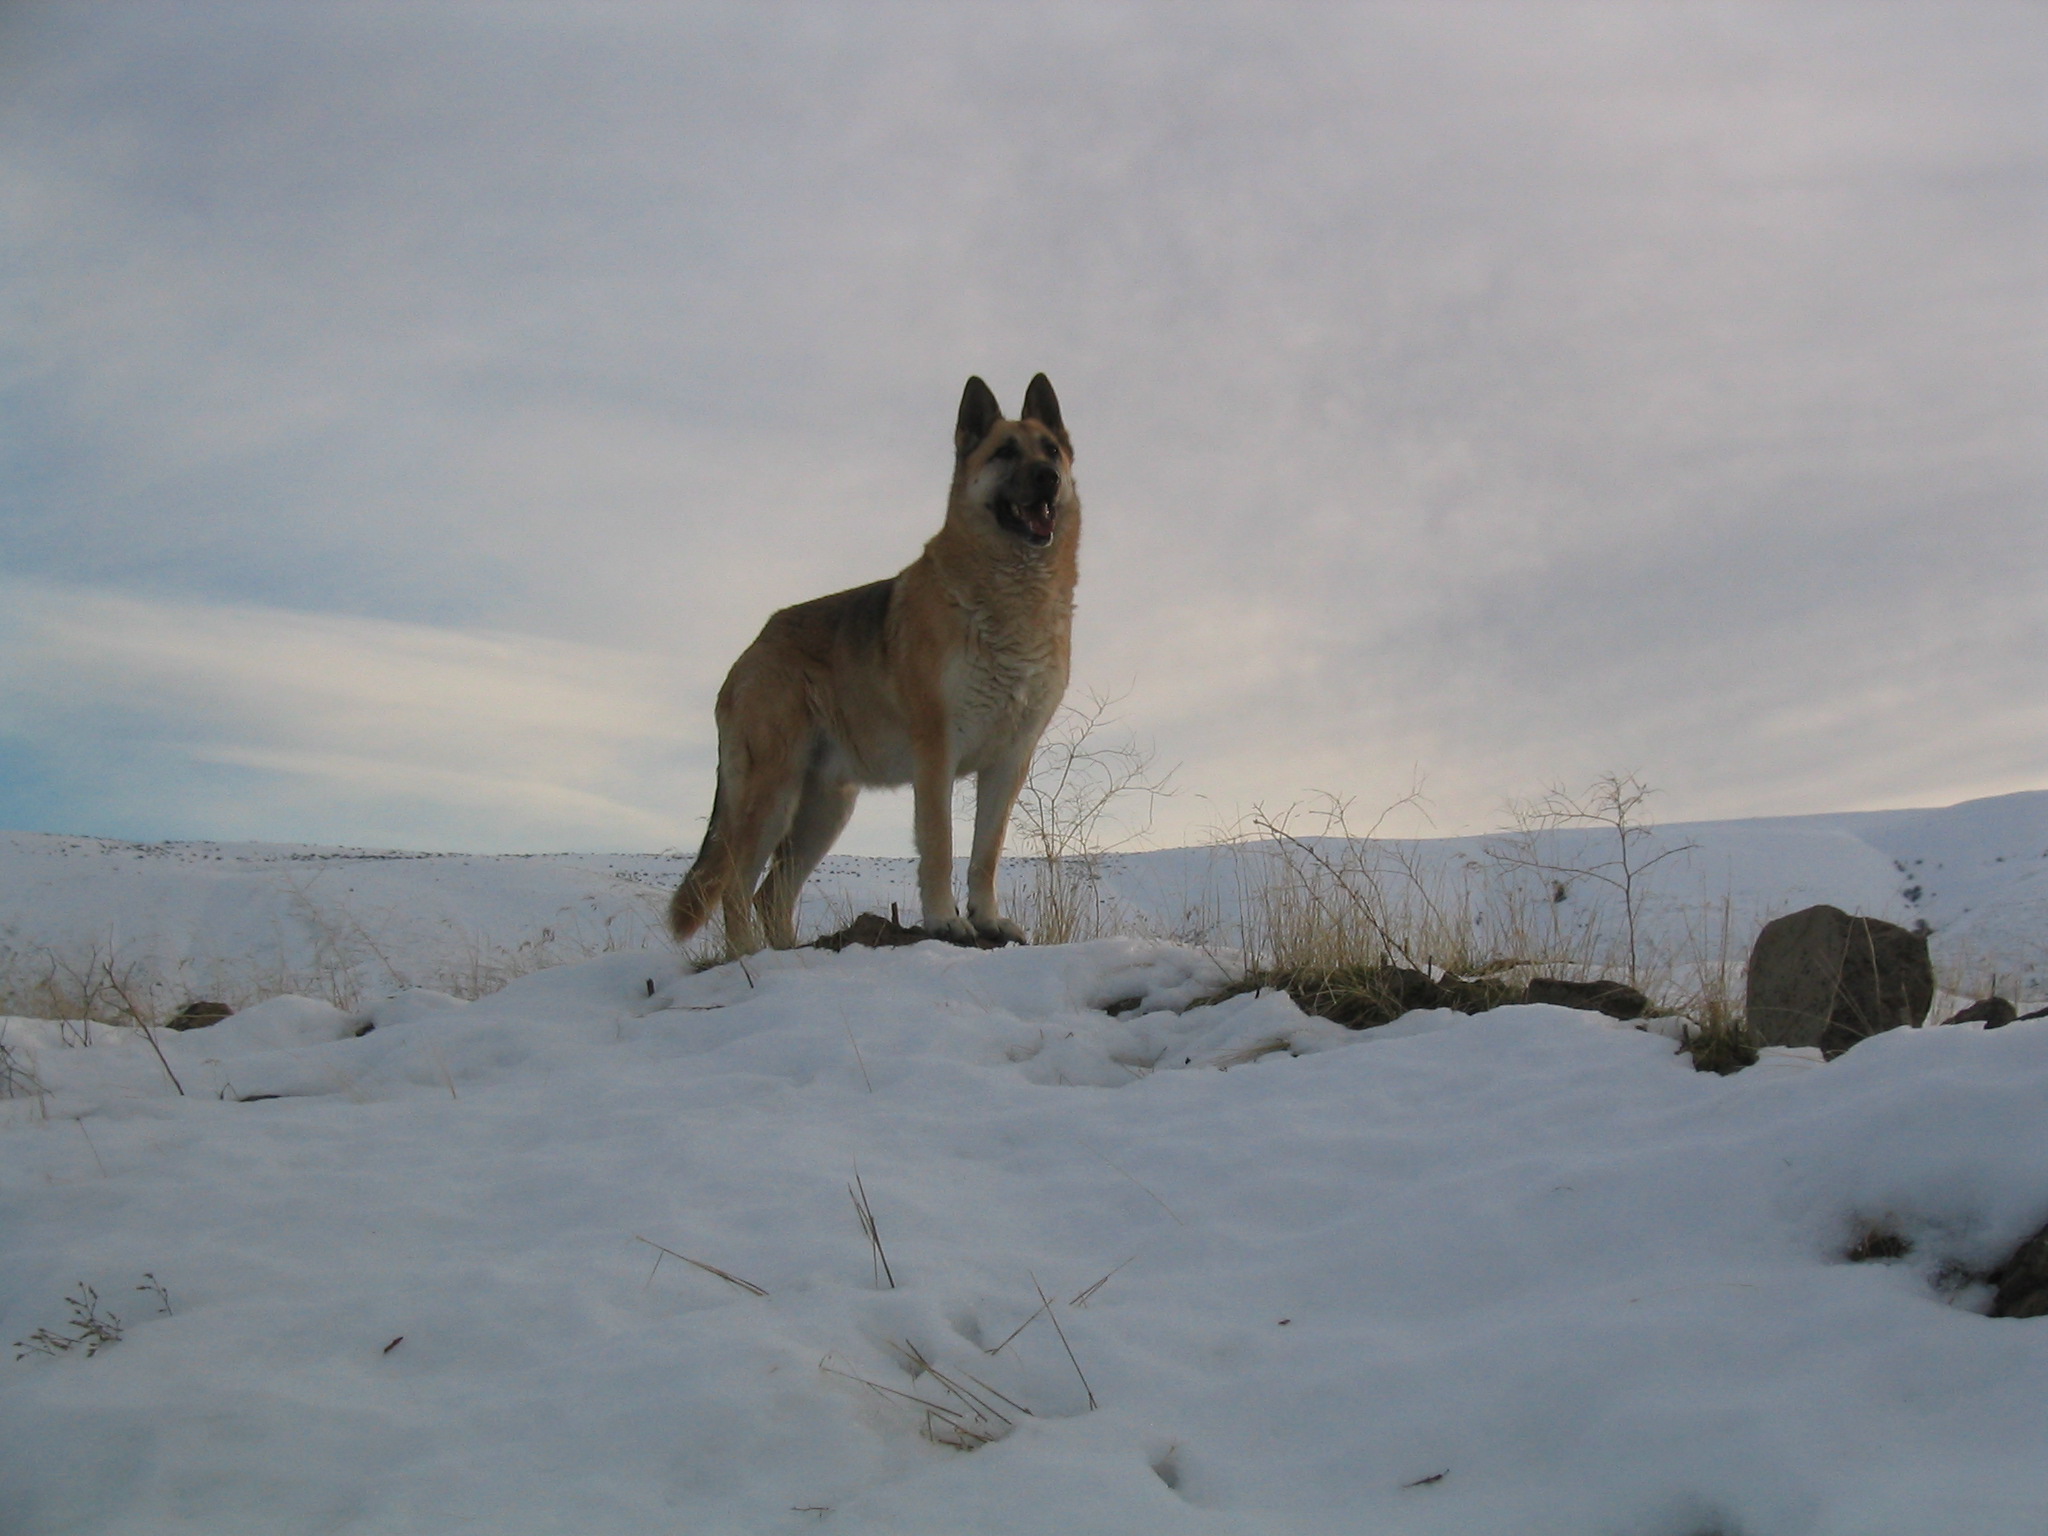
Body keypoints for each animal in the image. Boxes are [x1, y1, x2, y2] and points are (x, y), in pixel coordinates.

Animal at [675, 376, 1089, 958]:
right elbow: (939, 844)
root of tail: (753, 647)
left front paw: (987, 920)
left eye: (1050, 451)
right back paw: (750, 956)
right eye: (1005, 452)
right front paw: (945, 922)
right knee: (737, 883)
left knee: (771, 892)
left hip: (825, 809)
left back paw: (790, 952)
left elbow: (985, 853)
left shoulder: (1008, 762)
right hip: (772, 793)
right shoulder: (937, 754)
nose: (1049, 479)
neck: (1011, 594)